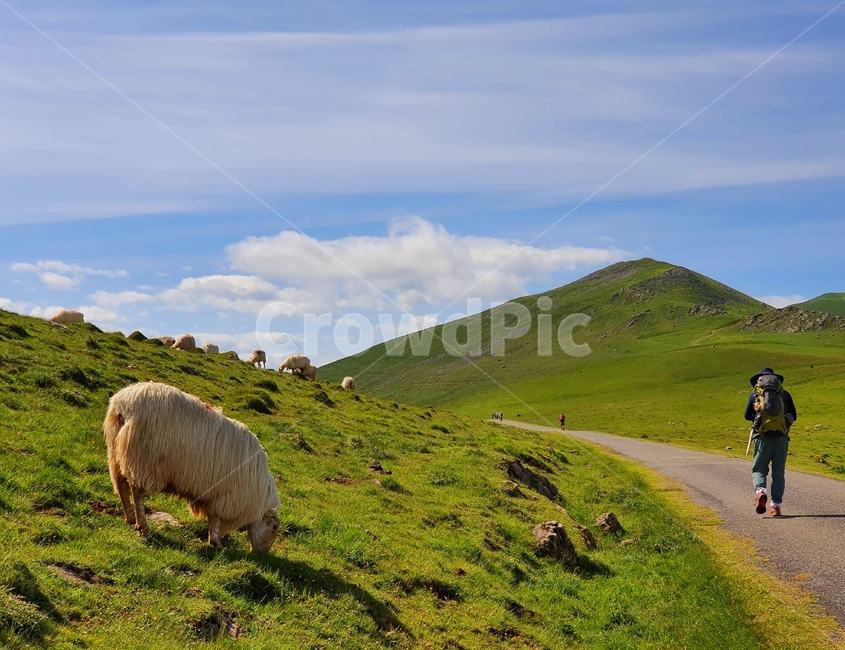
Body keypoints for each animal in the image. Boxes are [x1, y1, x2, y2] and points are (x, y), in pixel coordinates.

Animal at [102, 382, 280, 553]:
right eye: (274, 527)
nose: (262, 554)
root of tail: (123, 405)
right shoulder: (223, 496)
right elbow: (215, 520)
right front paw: (216, 543)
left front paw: (213, 541)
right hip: (143, 459)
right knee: (137, 492)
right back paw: (143, 527)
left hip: (116, 452)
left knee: (121, 484)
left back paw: (130, 517)